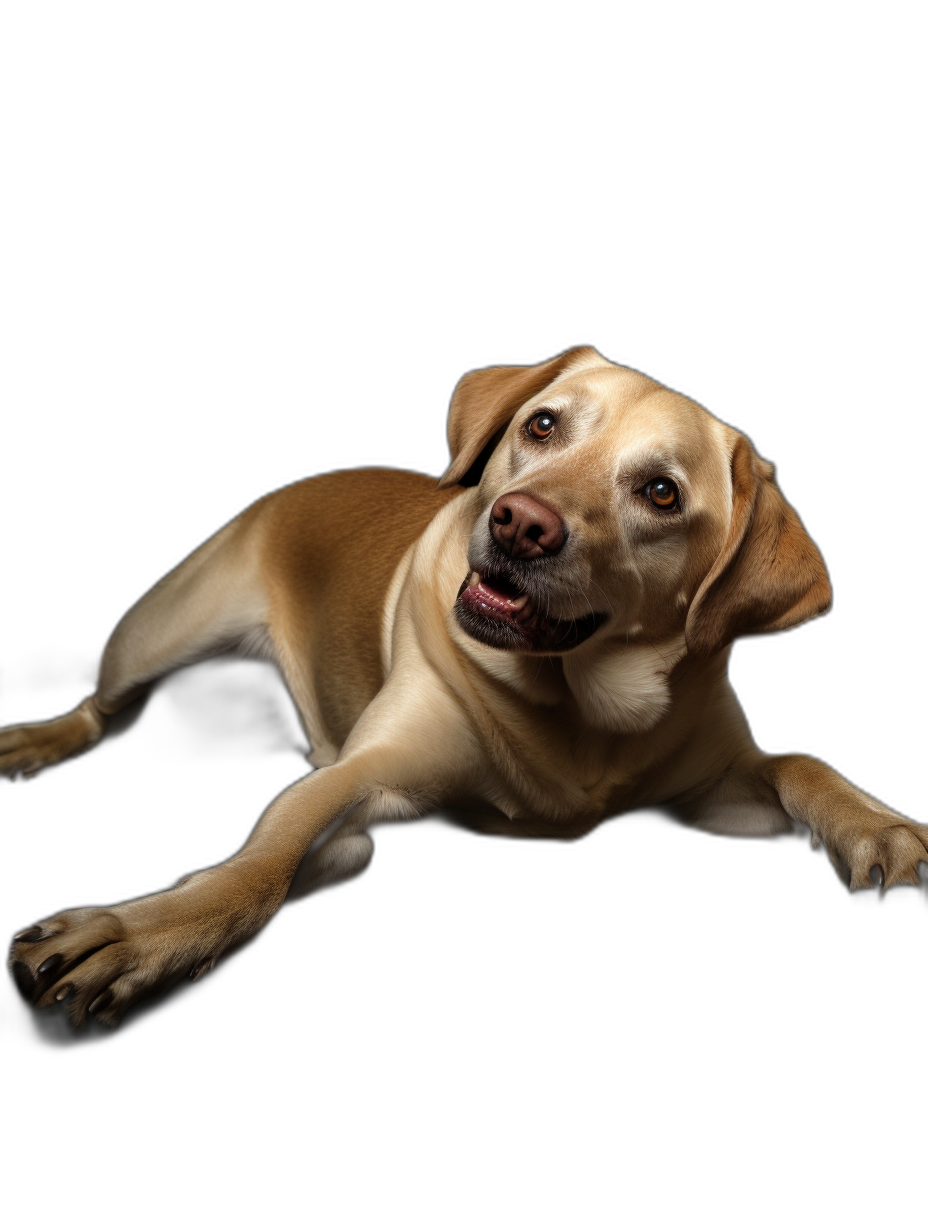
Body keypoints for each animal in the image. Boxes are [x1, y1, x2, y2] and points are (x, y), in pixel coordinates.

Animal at [3, 347, 921, 1029]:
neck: (579, 711)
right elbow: (256, 871)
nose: (521, 523)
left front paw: (873, 825)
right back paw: (36, 740)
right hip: (158, 634)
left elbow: (796, 761)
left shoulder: (712, 784)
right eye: (542, 425)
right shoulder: (356, 780)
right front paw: (135, 938)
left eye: (661, 492)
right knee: (105, 711)